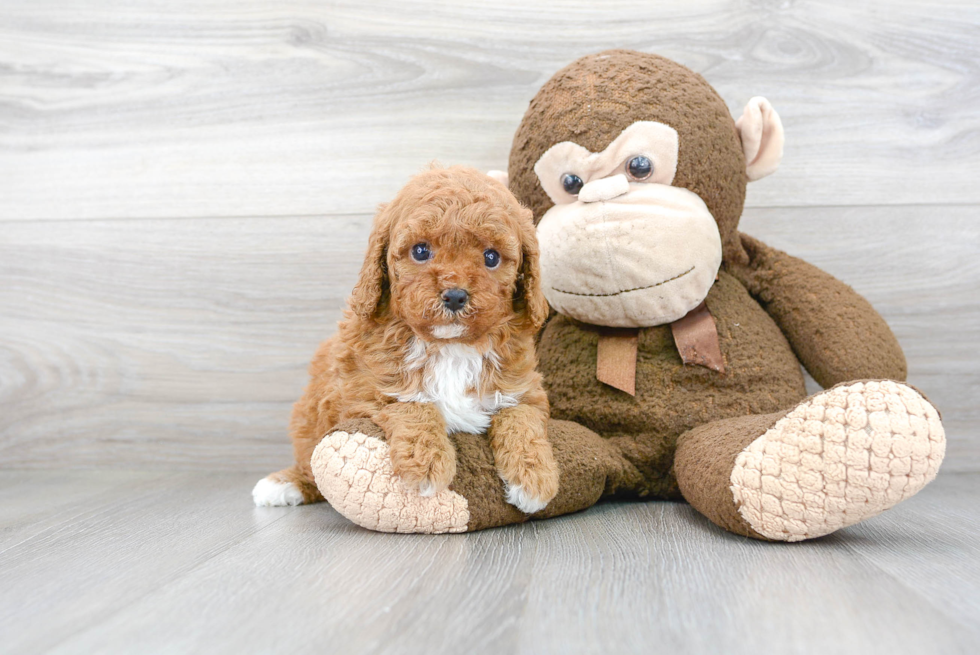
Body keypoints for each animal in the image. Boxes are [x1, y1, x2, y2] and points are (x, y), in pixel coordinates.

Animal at [253, 167, 560, 516]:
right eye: (421, 251)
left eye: (491, 257)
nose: (455, 295)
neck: (450, 347)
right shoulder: (366, 390)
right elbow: (413, 405)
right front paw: (427, 465)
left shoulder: (523, 389)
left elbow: (522, 419)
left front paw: (534, 478)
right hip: (308, 417)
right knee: (309, 463)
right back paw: (283, 483)